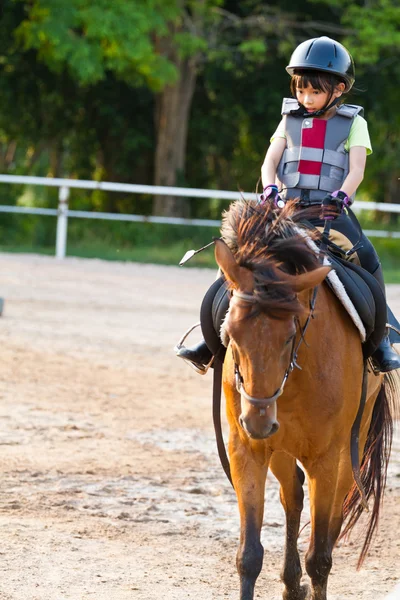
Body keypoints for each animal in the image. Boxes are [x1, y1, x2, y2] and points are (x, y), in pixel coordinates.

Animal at [214, 200, 398, 600]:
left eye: (289, 334)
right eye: (231, 332)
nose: (258, 420)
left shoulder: (326, 457)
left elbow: (320, 556)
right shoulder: (246, 449)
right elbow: (249, 556)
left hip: (348, 449)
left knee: (332, 518)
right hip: (281, 449)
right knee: (293, 497)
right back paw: (290, 582)